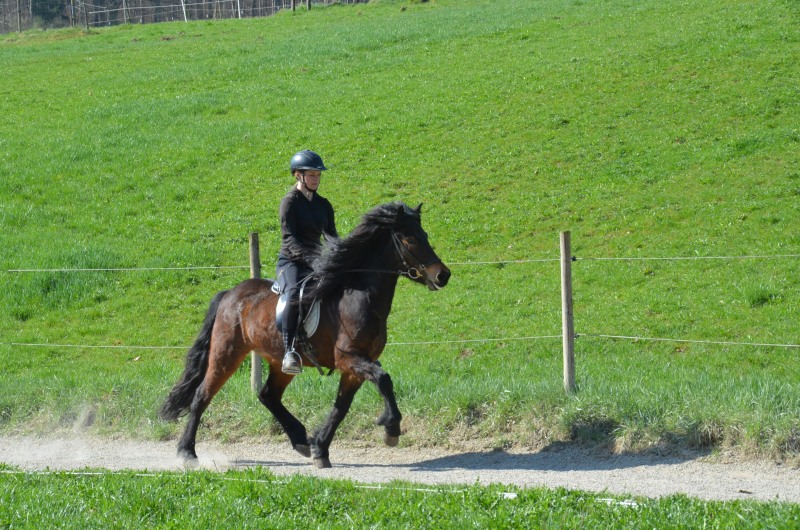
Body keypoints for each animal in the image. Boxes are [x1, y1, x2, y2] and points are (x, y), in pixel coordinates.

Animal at [158, 202, 451, 468]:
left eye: (424, 234)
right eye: (410, 239)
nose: (443, 275)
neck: (360, 296)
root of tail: (230, 293)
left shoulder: (355, 367)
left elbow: (341, 406)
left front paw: (321, 449)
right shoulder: (349, 358)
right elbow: (384, 379)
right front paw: (391, 428)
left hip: (280, 362)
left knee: (268, 395)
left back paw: (300, 440)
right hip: (226, 354)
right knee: (201, 396)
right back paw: (187, 453)